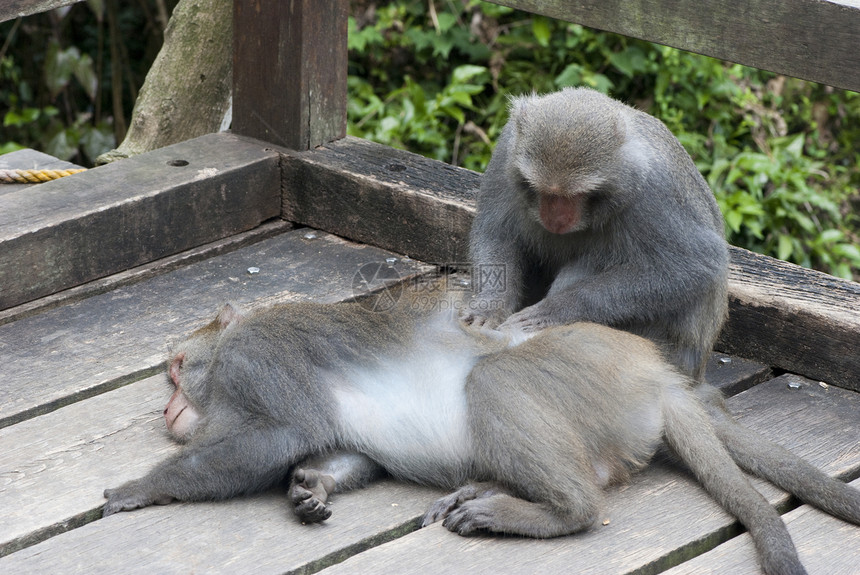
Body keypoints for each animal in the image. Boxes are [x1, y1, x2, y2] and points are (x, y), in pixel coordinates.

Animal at [104, 292, 856, 575]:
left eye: (178, 369)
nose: (166, 409)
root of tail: (658, 376)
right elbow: (339, 450)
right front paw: (313, 487)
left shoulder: (260, 359)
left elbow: (273, 436)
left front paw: (139, 487)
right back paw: (485, 491)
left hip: (582, 377)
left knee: (494, 382)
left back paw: (549, 510)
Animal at [464, 89, 860, 536]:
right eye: (542, 190)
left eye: (575, 196)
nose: (555, 215)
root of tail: (691, 377)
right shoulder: (507, 152)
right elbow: (496, 230)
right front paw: (488, 307)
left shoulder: (654, 190)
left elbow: (695, 265)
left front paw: (554, 311)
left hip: (658, 347)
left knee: (604, 252)